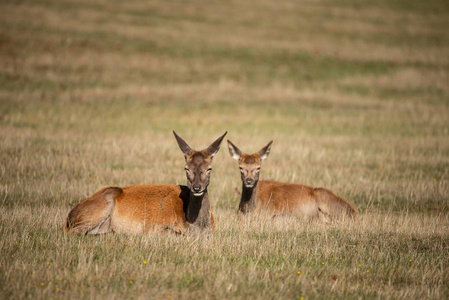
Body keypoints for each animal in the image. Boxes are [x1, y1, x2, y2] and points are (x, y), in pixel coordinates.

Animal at [64, 132, 226, 236]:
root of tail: (69, 217)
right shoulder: (154, 228)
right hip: (103, 201)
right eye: (186, 168)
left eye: (209, 168)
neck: (196, 226)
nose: (197, 187)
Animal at [228, 139, 356, 221]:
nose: (249, 181)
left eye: (258, 167)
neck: (249, 210)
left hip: (325, 198)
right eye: (240, 167)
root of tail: (353, 211)